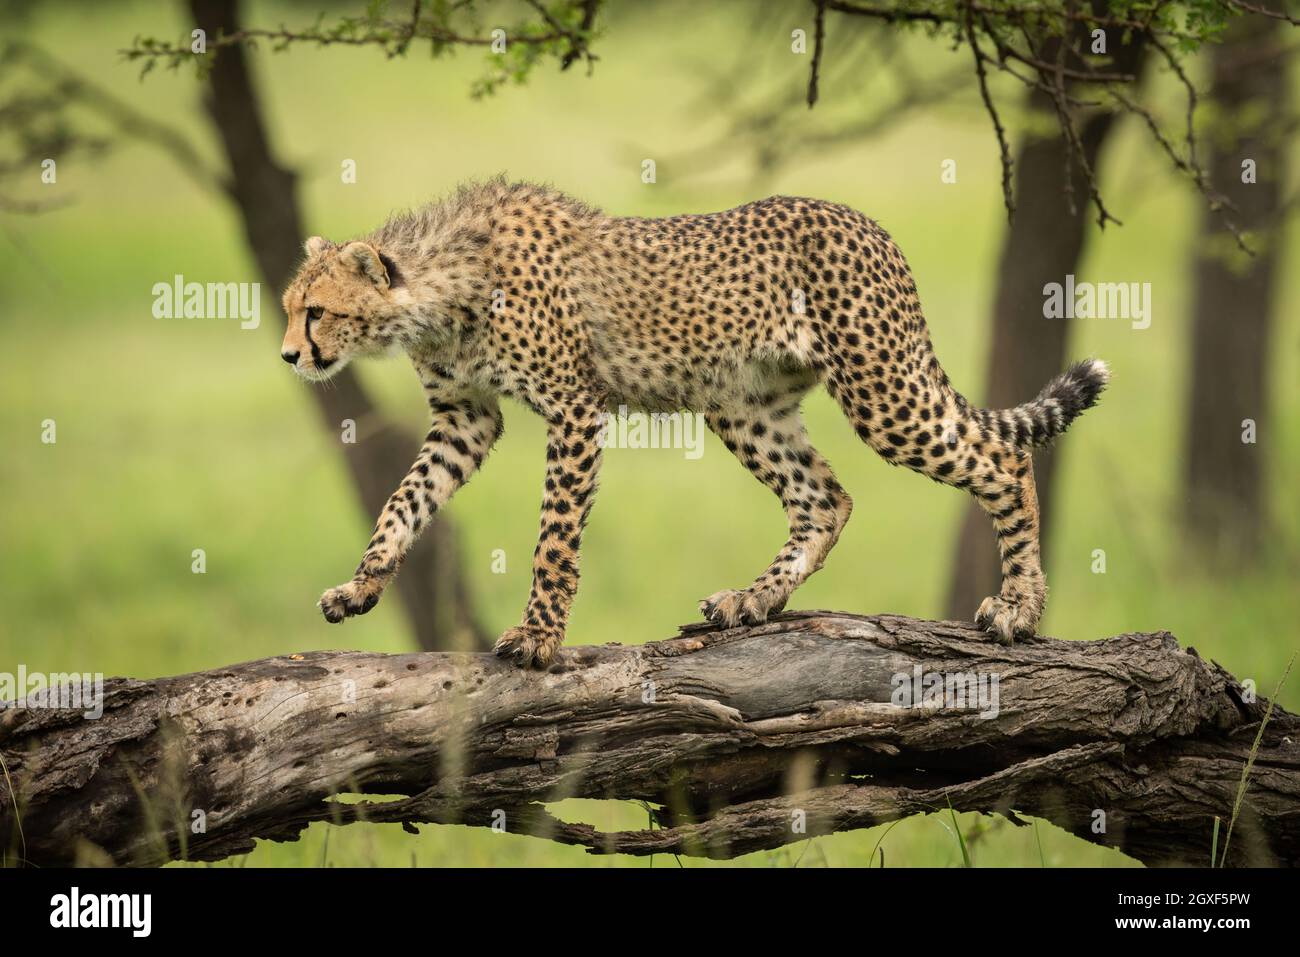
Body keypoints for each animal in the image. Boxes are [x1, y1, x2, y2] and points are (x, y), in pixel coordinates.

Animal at [282, 183, 1107, 670]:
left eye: (315, 311)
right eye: (292, 308)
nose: (290, 354)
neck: (438, 286)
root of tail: (866, 220)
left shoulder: (574, 408)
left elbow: (554, 538)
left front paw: (539, 636)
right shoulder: (466, 418)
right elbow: (405, 499)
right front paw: (360, 584)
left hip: (883, 390)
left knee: (1002, 458)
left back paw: (1020, 606)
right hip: (742, 403)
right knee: (824, 499)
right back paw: (754, 601)